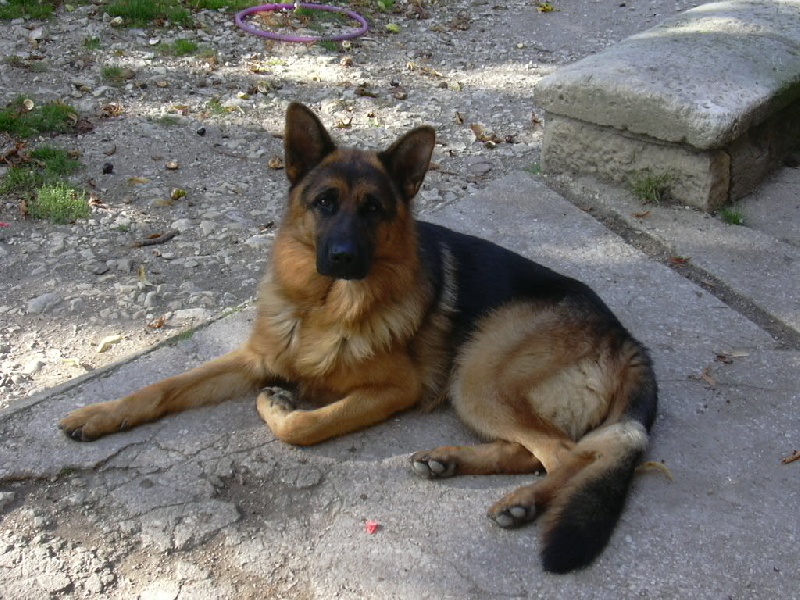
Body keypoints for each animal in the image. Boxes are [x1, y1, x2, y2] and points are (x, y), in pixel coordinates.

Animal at [60, 102, 657, 573]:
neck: (321, 307)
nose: (343, 258)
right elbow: (162, 386)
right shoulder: (255, 357)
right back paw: (450, 462)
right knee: (530, 451)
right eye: (324, 202)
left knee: (566, 456)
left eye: (373, 209)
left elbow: (305, 425)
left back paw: (524, 503)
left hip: (477, 373)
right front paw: (102, 413)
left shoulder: (393, 391)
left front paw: (279, 405)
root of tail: (629, 341)